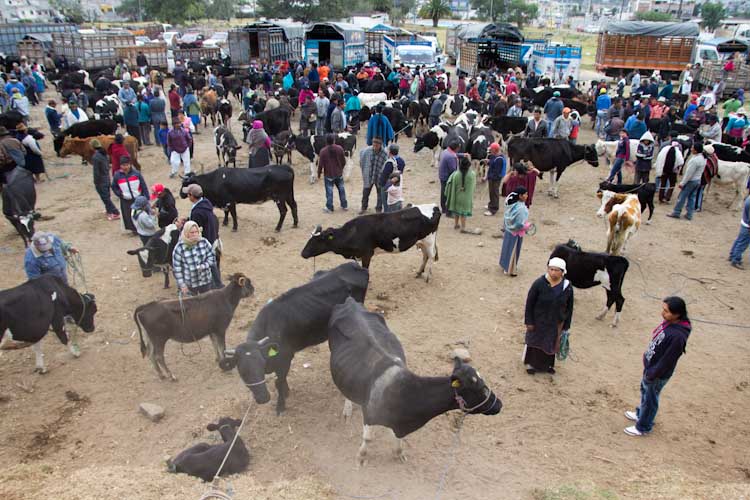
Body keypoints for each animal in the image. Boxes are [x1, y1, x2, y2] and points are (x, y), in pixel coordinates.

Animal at [219, 262, 372, 414]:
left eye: (261, 364)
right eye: (242, 371)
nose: (263, 398)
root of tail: (354, 265)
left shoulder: (285, 358)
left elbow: (278, 382)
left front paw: (281, 405)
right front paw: (286, 392)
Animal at [300, 203, 440, 282]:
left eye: (317, 240)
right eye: (310, 239)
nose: (302, 253)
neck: (353, 232)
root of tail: (434, 206)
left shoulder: (367, 254)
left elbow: (365, 269)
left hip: (429, 240)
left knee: (431, 256)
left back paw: (428, 276)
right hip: (422, 242)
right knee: (425, 256)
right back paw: (419, 272)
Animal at [330, 296, 502, 464]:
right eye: (480, 388)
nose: (499, 404)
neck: (407, 393)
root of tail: (350, 302)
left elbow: (397, 438)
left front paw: (399, 453)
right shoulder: (369, 415)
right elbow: (368, 438)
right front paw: (362, 457)